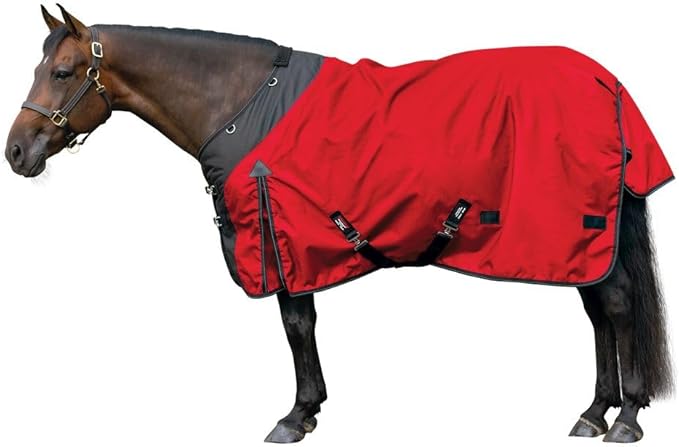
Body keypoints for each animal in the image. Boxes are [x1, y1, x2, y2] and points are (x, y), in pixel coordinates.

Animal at [4, 5, 674, 443]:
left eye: (62, 72)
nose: (15, 152)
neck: (242, 103)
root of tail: (605, 81)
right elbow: (301, 328)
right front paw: (310, 409)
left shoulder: (284, 238)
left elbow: (297, 327)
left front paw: (296, 415)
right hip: (582, 243)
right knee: (597, 312)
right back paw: (594, 411)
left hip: (581, 229)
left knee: (616, 306)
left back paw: (624, 418)